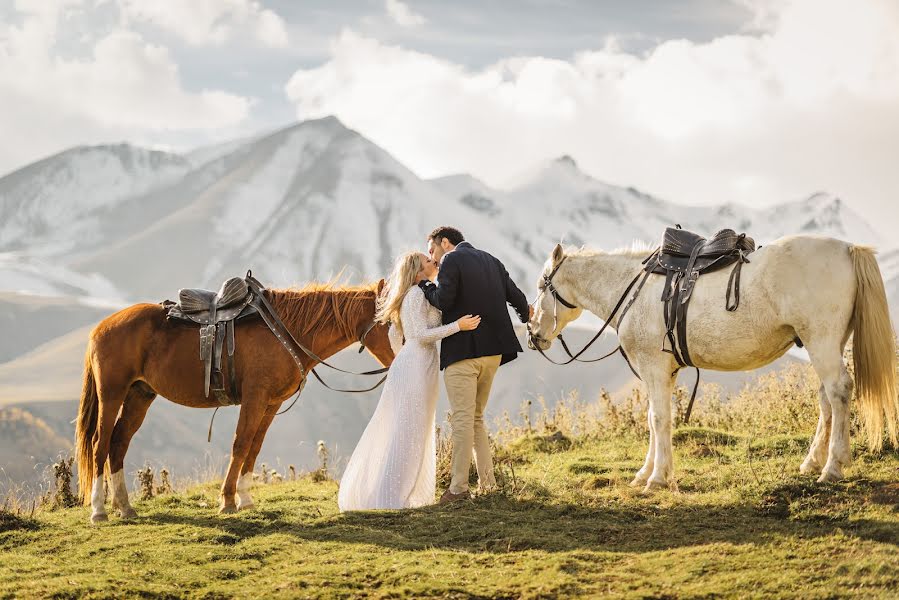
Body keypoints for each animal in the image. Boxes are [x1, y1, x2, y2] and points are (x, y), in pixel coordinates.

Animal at [78, 278, 398, 524]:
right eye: (388, 322)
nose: (398, 357)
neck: (286, 330)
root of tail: (100, 328)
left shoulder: (271, 403)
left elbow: (254, 447)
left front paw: (245, 498)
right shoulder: (255, 398)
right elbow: (241, 443)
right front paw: (228, 501)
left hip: (140, 394)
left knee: (119, 442)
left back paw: (125, 507)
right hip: (112, 394)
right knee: (99, 444)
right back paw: (98, 510)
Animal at [532, 236, 896, 492]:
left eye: (541, 286)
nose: (534, 334)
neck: (634, 289)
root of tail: (848, 248)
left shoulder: (653, 368)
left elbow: (658, 419)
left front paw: (657, 478)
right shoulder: (663, 373)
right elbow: (653, 420)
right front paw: (647, 472)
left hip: (821, 342)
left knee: (839, 391)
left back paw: (832, 467)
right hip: (827, 345)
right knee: (826, 399)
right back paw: (812, 463)